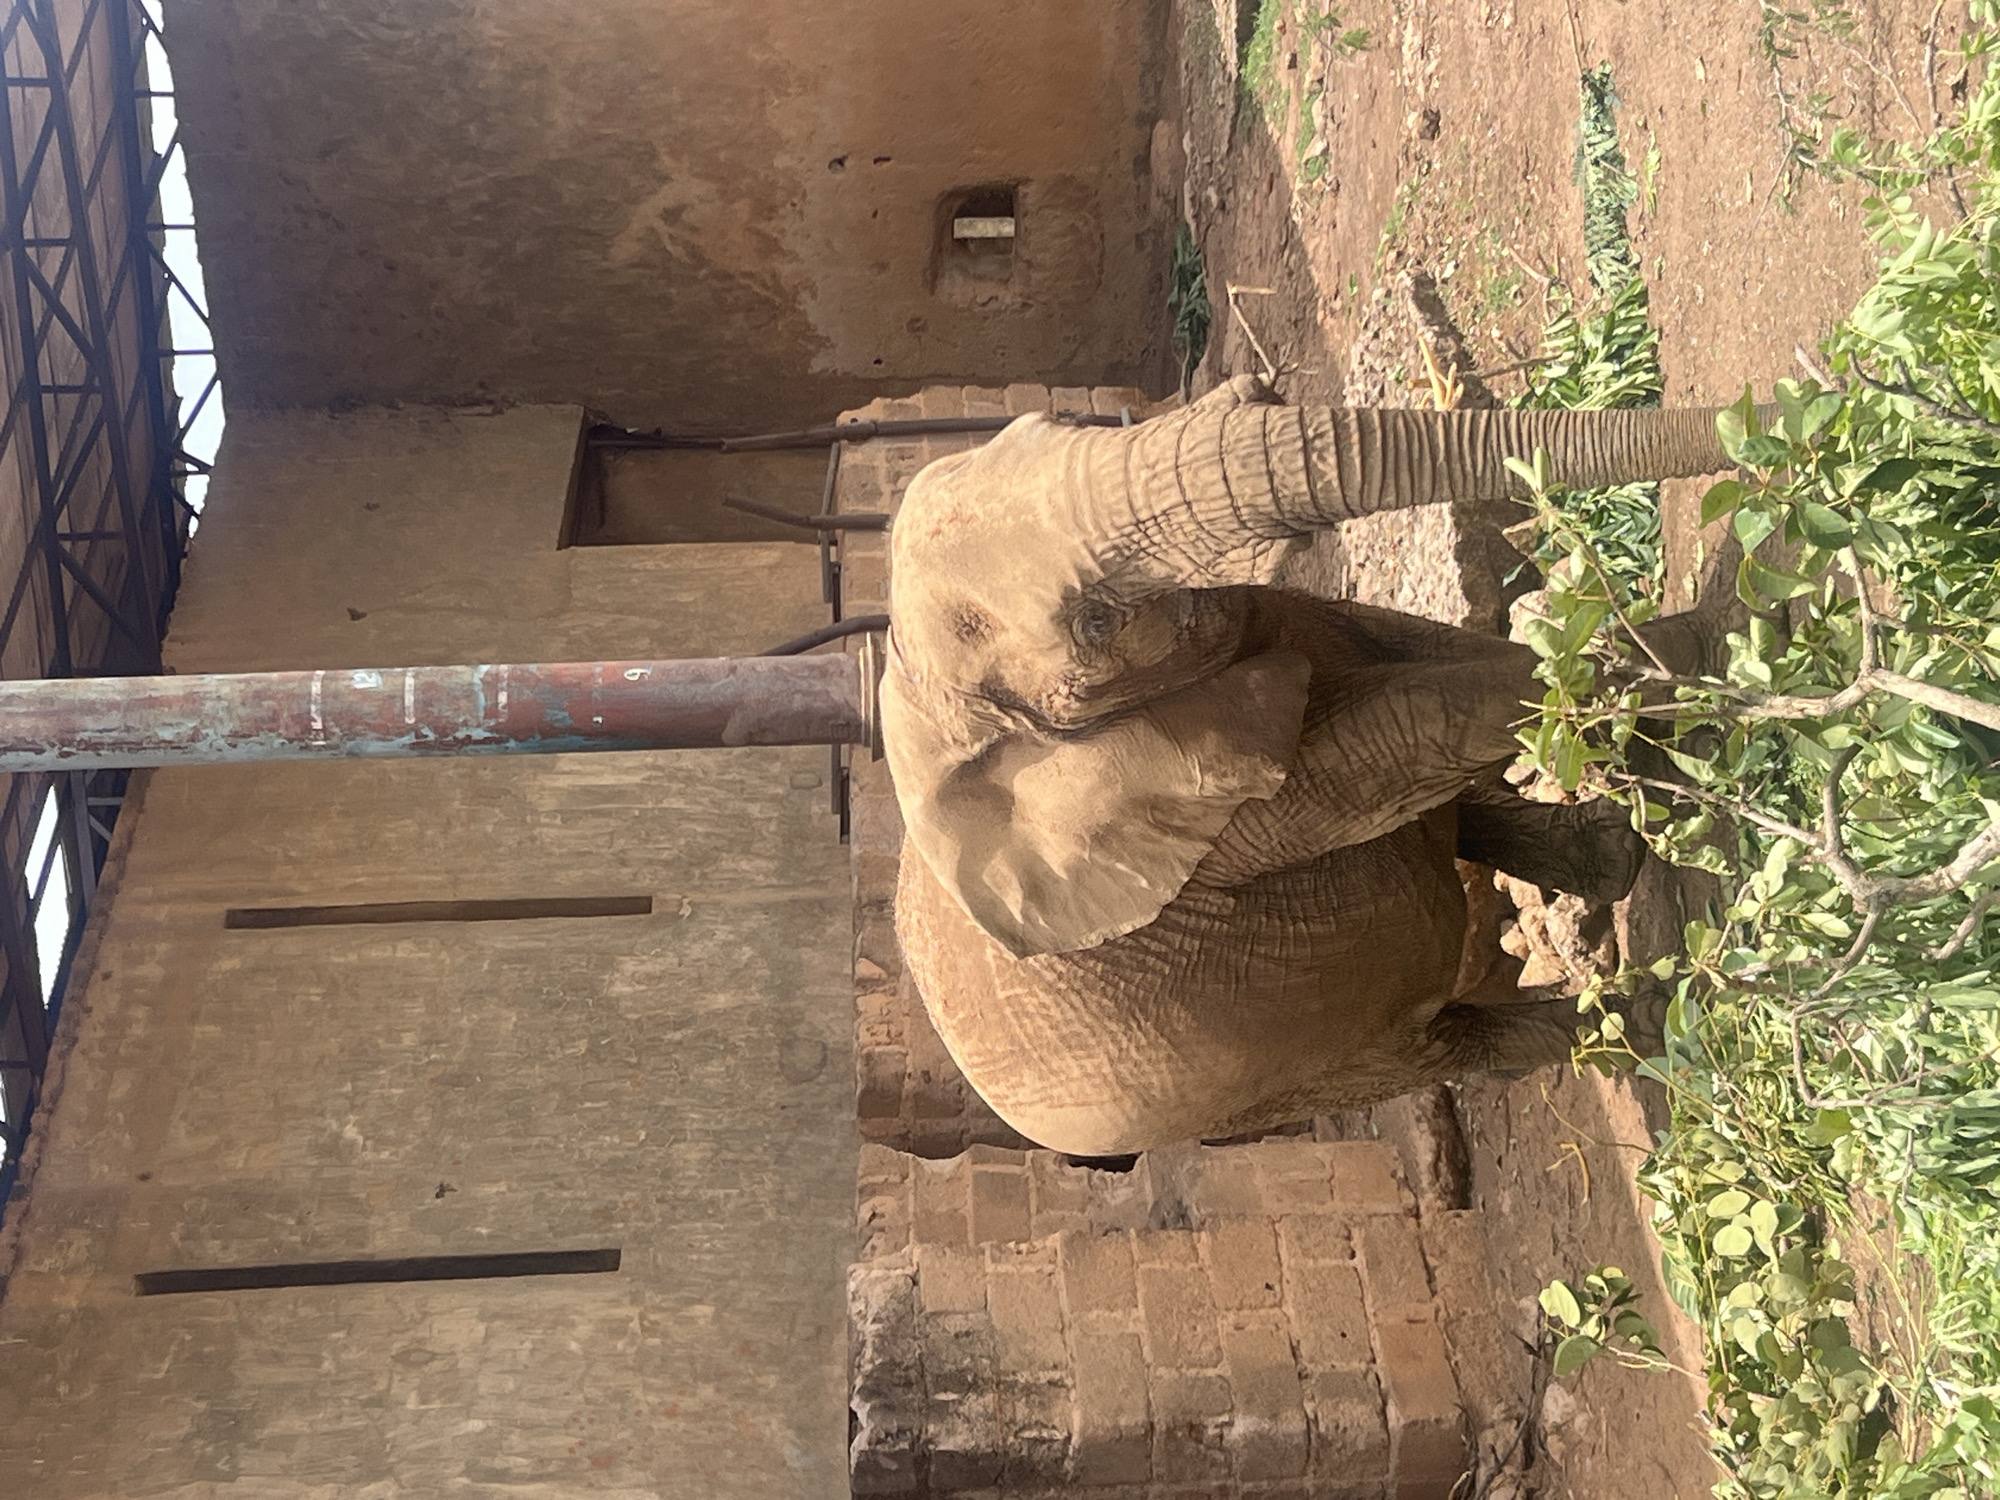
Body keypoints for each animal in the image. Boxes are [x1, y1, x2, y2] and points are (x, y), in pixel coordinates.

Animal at [882, 377, 1743, 1155]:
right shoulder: (1202, 810)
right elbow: (1416, 719)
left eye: (1063, 423)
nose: (1760, 413)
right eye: (1092, 624)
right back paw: (1663, 1023)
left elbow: (1415, 643)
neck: (923, 711)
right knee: (1434, 1045)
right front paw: (1711, 660)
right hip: (1274, 1082)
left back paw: (1616, 869)